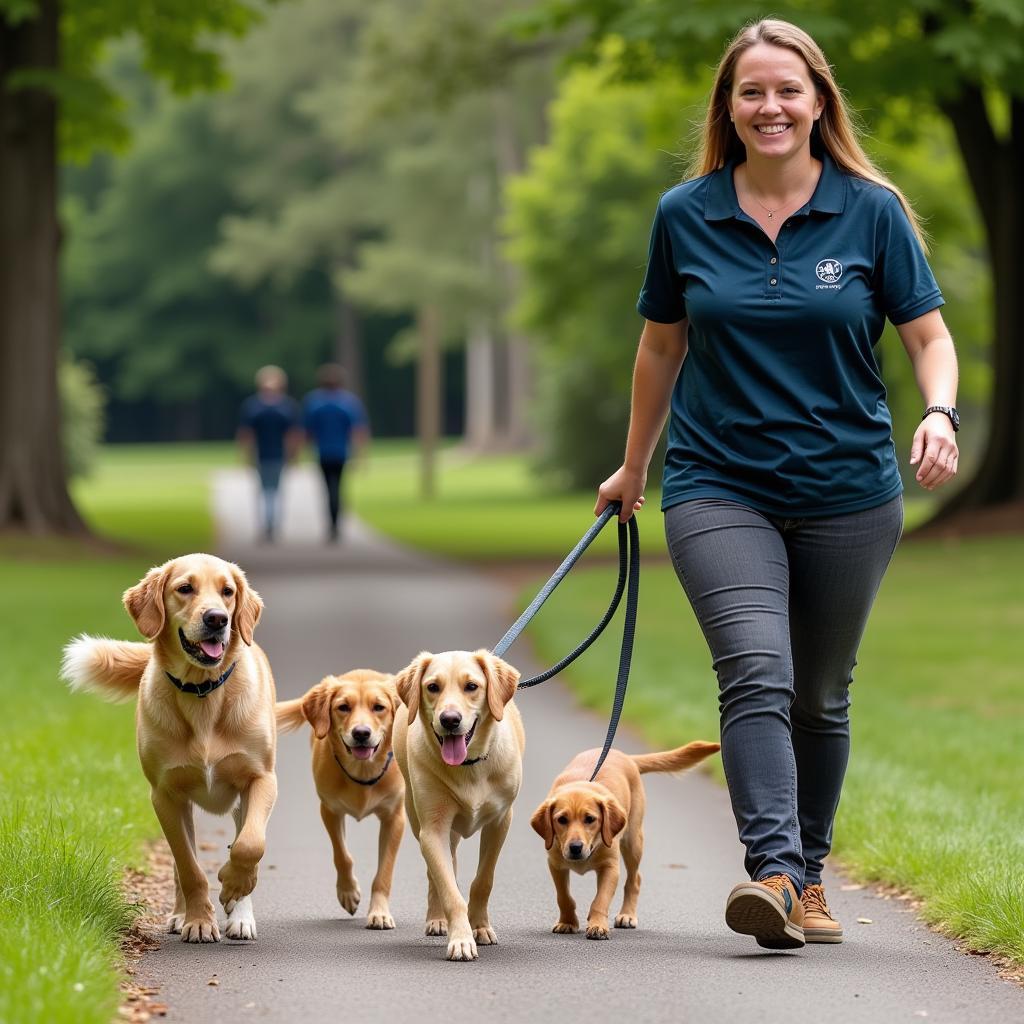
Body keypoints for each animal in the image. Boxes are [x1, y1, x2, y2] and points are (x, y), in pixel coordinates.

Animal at [60, 557, 276, 937]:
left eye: (227, 591)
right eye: (185, 588)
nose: (217, 619)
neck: (202, 691)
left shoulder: (262, 779)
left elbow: (250, 845)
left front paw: (234, 887)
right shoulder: (164, 795)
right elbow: (189, 868)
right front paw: (199, 922)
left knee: (241, 840)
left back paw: (240, 915)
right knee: (180, 865)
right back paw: (182, 915)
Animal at [280, 671, 407, 929]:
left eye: (379, 707)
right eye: (343, 707)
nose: (361, 733)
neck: (363, 772)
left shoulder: (395, 818)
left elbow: (384, 872)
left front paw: (379, 912)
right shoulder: (330, 810)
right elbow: (342, 855)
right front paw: (348, 892)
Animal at [389, 647, 524, 958]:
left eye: (471, 686)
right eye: (432, 687)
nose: (450, 719)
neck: (469, 766)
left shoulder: (501, 821)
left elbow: (484, 880)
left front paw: (480, 927)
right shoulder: (433, 828)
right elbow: (449, 888)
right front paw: (461, 938)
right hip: (417, 819)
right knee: (437, 873)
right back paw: (438, 919)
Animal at [536, 741, 720, 937]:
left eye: (590, 819)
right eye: (562, 820)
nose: (576, 847)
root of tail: (625, 756)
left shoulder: (610, 867)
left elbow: (600, 900)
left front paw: (598, 925)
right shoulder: (556, 865)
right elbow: (563, 897)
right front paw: (567, 922)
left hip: (633, 842)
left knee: (635, 879)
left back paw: (627, 915)